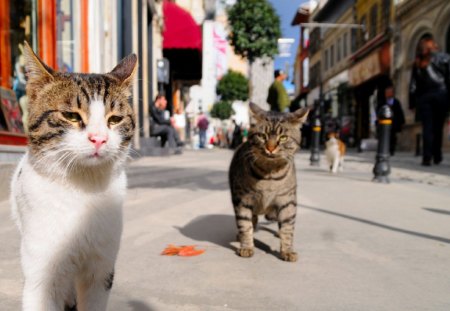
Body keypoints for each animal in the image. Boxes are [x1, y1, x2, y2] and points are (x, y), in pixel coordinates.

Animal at [10, 42, 137, 311]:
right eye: (71, 116)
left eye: (115, 119)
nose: (99, 138)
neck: (82, 186)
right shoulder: (41, 270)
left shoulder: (101, 267)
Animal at [230, 103, 308, 262]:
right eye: (262, 136)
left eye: (283, 137)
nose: (270, 148)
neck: (269, 176)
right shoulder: (242, 200)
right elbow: (245, 224)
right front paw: (246, 246)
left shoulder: (287, 201)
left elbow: (287, 227)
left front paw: (287, 250)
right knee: (252, 220)